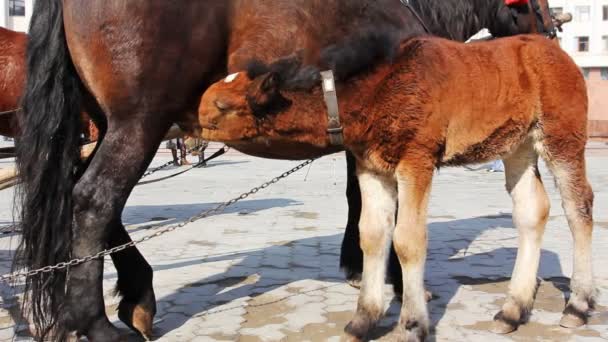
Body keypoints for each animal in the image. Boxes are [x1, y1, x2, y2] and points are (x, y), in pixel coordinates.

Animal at [15, 0, 560, 340]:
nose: (552, 38)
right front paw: (395, 280)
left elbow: (361, 201)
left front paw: (359, 266)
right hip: (141, 121)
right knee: (95, 199)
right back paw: (96, 323)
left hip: (108, 123)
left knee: (84, 197)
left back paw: (136, 296)